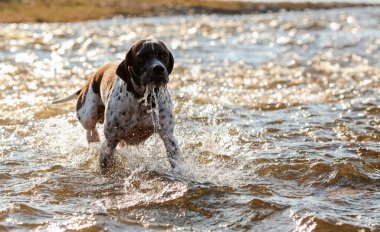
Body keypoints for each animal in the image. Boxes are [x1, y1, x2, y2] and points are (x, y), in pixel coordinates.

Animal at [52, 39, 181, 174]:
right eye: (142, 56)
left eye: (163, 54)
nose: (158, 68)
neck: (142, 99)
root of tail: (95, 74)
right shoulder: (110, 141)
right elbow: (105, 163)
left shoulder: (168, 137)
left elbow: (176, 161)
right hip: (87, 116)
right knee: (90, 129)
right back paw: (93, 138)